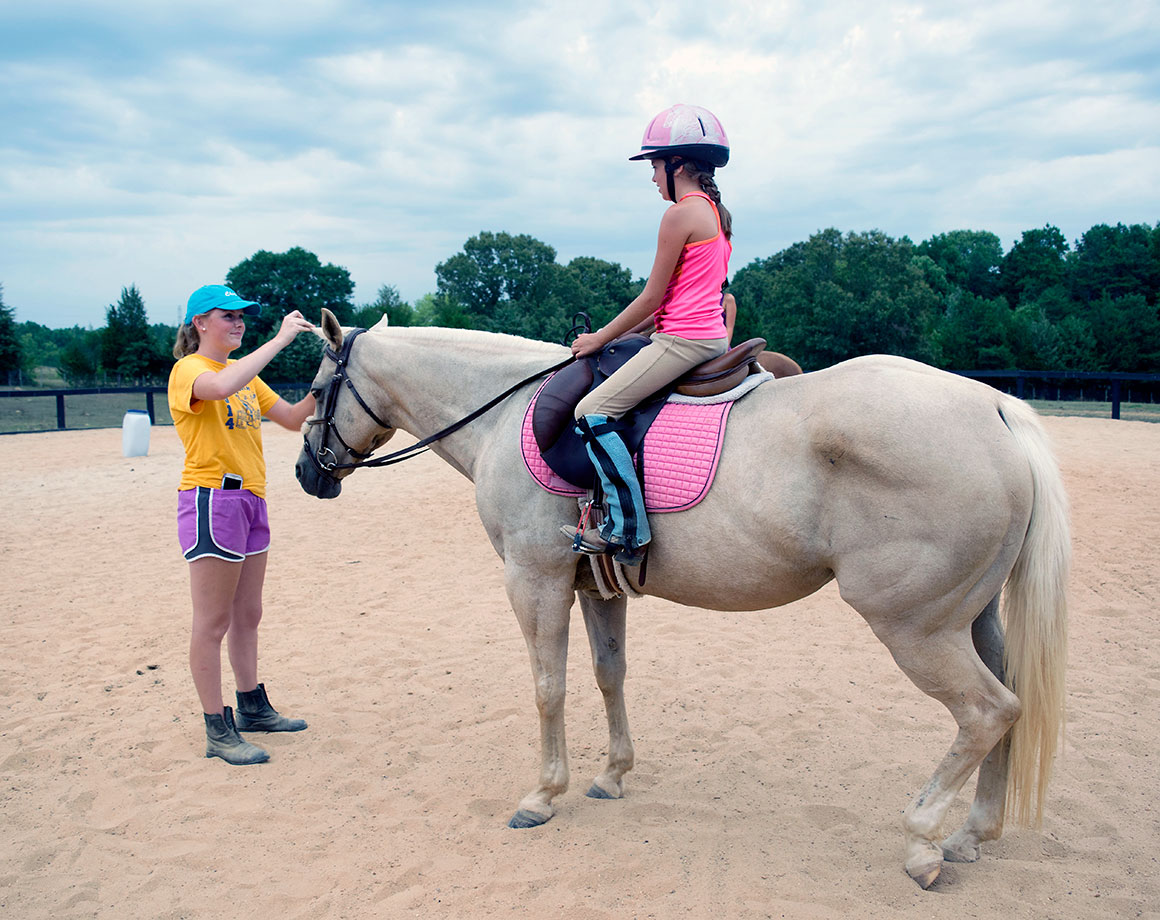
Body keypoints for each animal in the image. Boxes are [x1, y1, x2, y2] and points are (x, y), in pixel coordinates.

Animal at [296, 313, 1067, 886]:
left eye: (319, 385)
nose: (307, 472)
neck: (507, 414)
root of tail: (994, 406)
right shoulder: (594, 584)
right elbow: (609, 674)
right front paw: (612, 775)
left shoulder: (534, 579)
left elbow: (548, 686)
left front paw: (543, 794)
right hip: (972, 619)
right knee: (1009, 704)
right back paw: (971, 833)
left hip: (917, 628)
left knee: (988, 711)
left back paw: (923, 840)